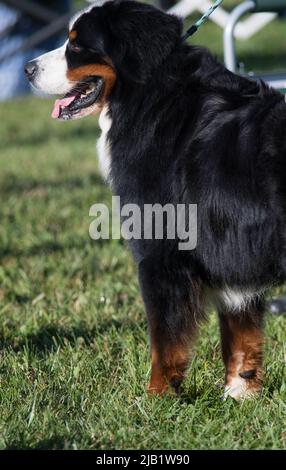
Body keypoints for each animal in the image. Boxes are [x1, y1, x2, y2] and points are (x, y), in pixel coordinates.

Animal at [25, 1, 286, 402]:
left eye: (77, 44)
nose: (27, 69)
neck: (152, 101)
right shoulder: (231, 253)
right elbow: (240, 330)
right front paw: (241, 392)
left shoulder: (162, 252)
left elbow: (165, 340)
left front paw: (156, 398)